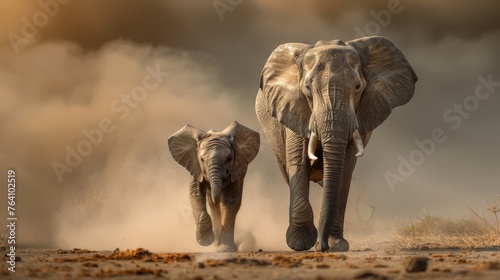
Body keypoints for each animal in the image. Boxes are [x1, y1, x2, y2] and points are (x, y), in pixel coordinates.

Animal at [169, 120, 262, 252]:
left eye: (229, 158)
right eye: (202, 159)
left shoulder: (237, 170)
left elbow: (230, 201)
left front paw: (225, 249)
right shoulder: (195, 167)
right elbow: (196, 194)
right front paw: (206, 241)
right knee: (212, 206)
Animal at [256, 36, 416, 253]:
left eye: (357, 87)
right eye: (307, 89)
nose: (321, 247)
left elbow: (345, 169)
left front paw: (337, 245)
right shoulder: (293, 107)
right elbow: (298, 164)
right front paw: (300, 243)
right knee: (288, 171)